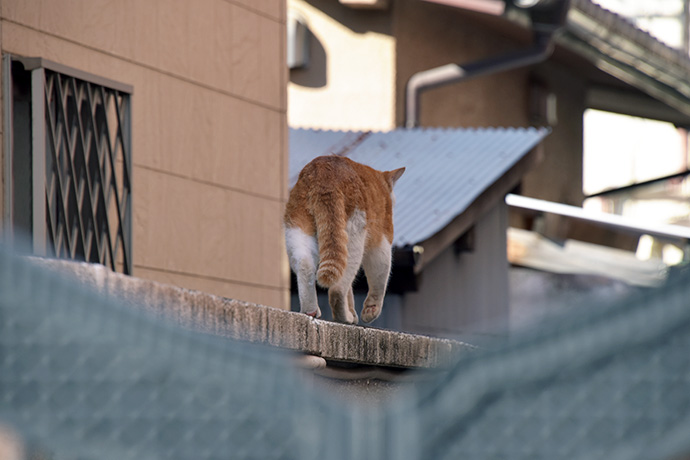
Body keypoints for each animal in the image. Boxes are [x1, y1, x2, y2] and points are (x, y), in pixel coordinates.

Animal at [284, 156, 404, 326]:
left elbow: (350, 292)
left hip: (297, 229)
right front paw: (370, 311)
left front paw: (352, 311)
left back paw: (311, 311)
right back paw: (344, 317)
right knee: (337, 289)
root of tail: (323, 172)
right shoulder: (382, 240)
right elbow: (380, 274)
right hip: (354, 238)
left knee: (305, 265)